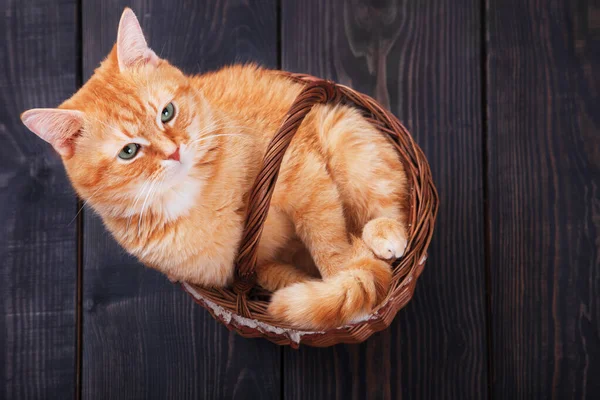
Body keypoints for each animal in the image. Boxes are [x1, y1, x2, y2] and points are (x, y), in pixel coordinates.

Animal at [19, 7, 408, 330]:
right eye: (129, 151)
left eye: (167, 112)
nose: (174, 151)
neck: (195, 198)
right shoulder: (240, 269)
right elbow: (280, 276)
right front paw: (312, 289)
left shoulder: (300, 170)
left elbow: (328, 239)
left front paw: (343, 278)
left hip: (348, 138)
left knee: (390, 201)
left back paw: (386, 233)